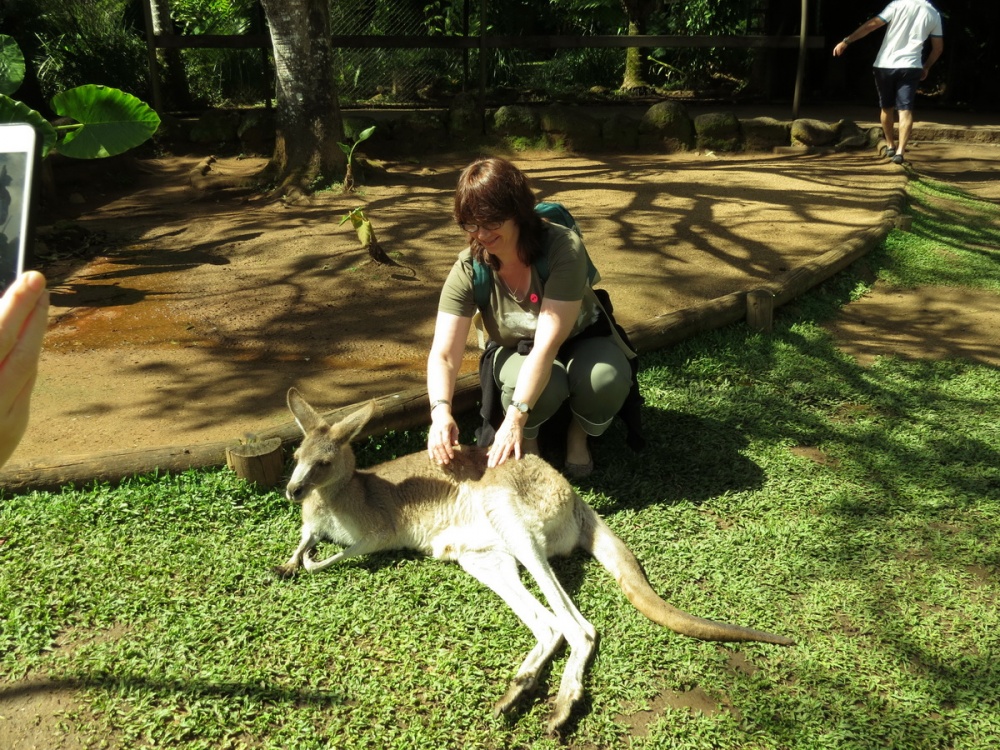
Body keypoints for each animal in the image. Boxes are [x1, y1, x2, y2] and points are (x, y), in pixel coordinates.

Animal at [276, 387, 794, 735]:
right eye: (296, 456)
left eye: (324, 463)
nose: (292, 491)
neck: (340, 494)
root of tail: (573, 494)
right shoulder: (316, 522)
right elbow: (304, 542)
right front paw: (289, 562)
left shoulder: (377, 532)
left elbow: (331, 556)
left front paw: (310, 560)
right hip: (481, 556)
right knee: (549, 624)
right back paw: (517, 692)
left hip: (510, 515)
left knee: (578, 627)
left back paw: (559, 708)